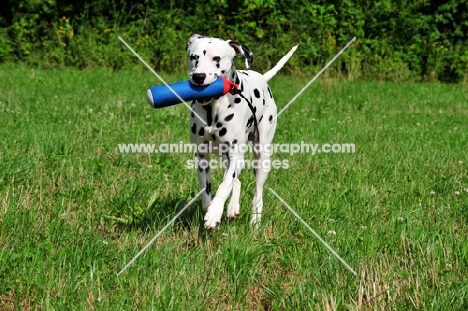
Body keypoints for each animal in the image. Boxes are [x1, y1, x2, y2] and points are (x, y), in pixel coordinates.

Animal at [186, 34, 296, 229]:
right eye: (194, 57)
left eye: (216, 58)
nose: (198, 77)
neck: (214, 109)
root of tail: (261, 77)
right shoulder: (201, 157)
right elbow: (207, 192)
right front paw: (211, 208)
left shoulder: (236, 156)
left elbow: (225, 185)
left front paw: (214, 213)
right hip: (225, 157)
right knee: (237, 181)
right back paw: (232, 207)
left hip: (261, 158)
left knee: (257, 192)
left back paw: (255, 220)